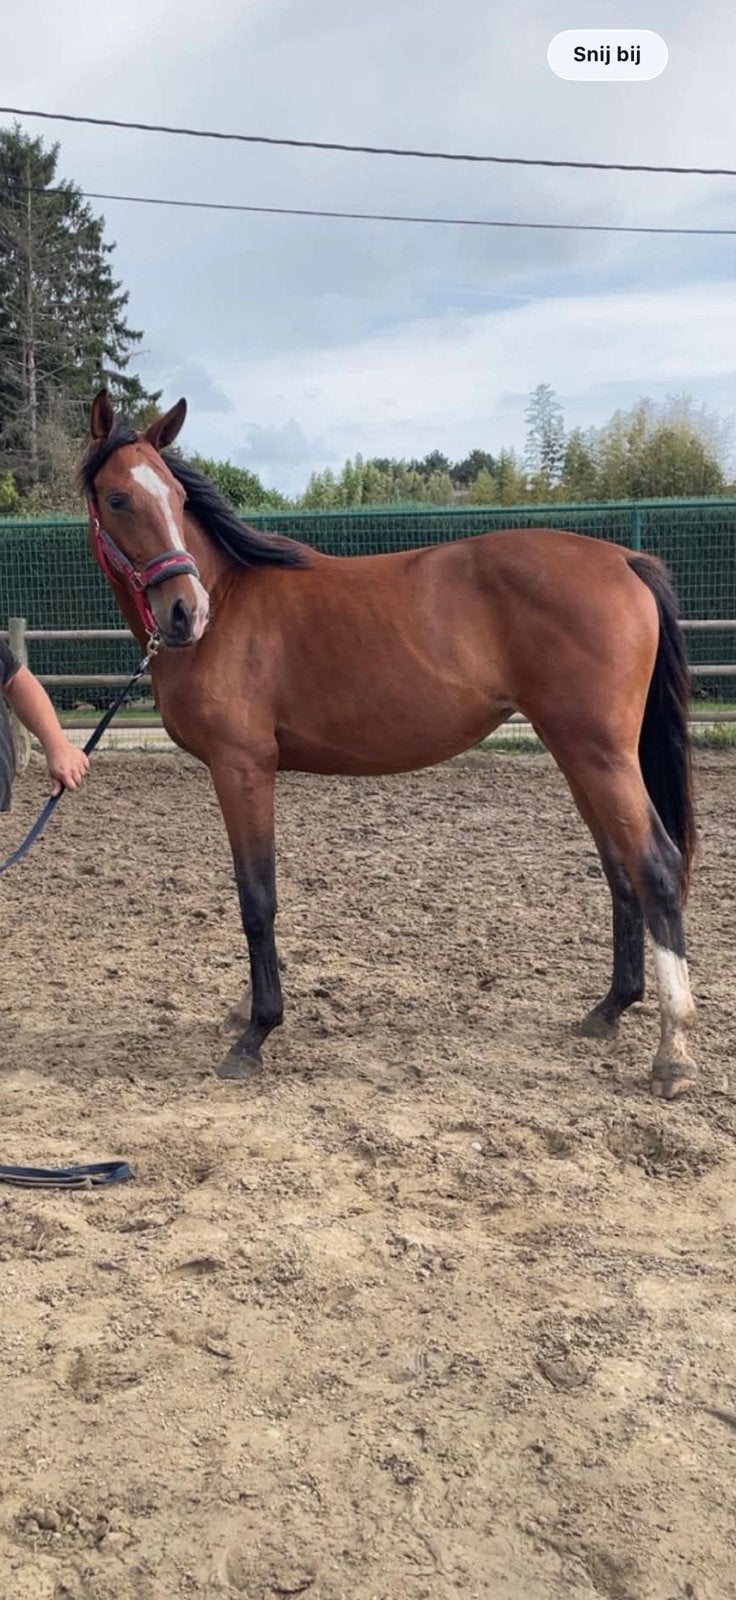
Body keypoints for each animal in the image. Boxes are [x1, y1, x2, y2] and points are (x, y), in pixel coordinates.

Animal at [81, 390, 697, 1101]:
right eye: (119, 498)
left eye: (178, 498)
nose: (186, 612)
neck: (232, 601)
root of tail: (622, 559)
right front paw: (246, 1010)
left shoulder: (242, 768)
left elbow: (256, 896)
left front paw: (256, 1032)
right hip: (577, 753)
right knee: (620, 868)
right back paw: (609, 1009)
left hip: (601, 756)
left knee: (656, 867)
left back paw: (674, 1054)